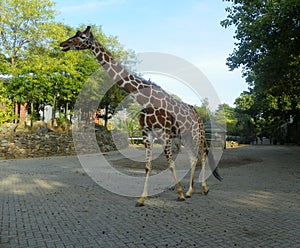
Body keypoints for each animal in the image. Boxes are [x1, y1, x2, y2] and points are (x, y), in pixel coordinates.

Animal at [59, 26, 221, 206]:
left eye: (82, 37)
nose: (63, 44)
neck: (144, 99)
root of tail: (198, 114)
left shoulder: (164, 135)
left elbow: (171, 164)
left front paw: (179, 194)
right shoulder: (147, 135)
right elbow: (148, 166)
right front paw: (142, 198)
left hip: (196, 134)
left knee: (203, 155)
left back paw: (202, 188)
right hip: (183, 137)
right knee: (194, 158)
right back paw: (190, 191)